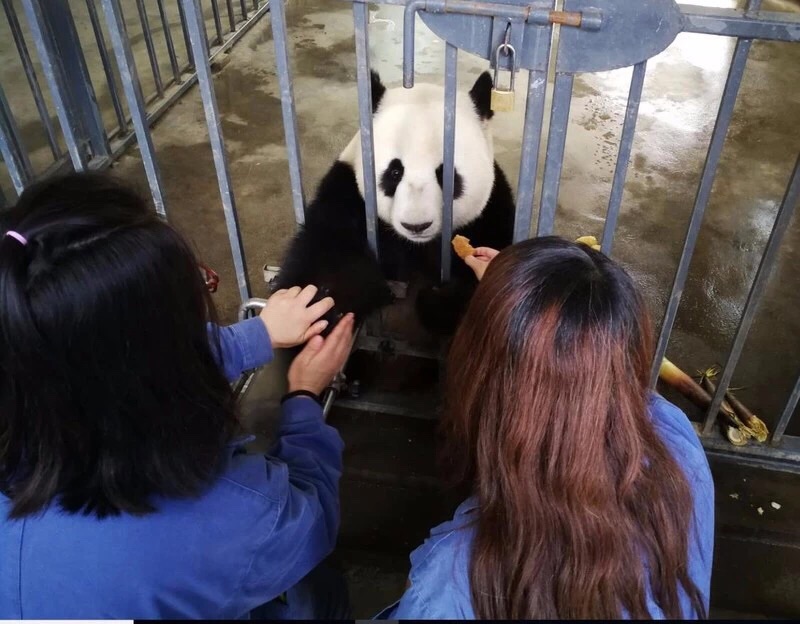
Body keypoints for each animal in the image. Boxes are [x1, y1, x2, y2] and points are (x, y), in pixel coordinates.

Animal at [274, 70, 512, 334]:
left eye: (446, 176)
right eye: (395, 172)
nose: (416, 226)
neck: (416, 245)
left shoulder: (489, 215)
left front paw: (439, 298)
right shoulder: (348, 196)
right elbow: (328, 258)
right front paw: (313, 312)